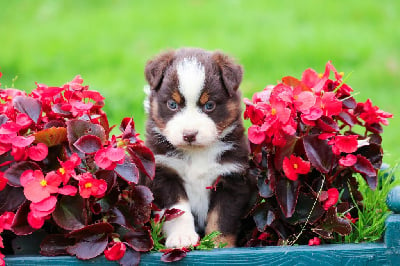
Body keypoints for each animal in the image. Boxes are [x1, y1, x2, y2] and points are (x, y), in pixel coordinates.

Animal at [143, 47, 250, 247]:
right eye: (172, 104)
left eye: (209, 105)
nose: (189, 134)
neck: (196, 152)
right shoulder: (164, 173)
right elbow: (177, 210)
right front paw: (182, 237)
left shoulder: (231, 177)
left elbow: (221, 217)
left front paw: (218, 244)